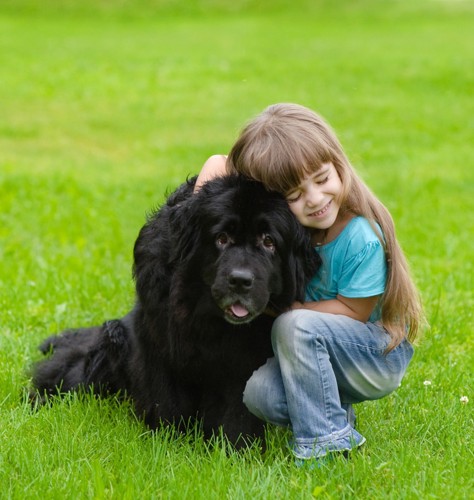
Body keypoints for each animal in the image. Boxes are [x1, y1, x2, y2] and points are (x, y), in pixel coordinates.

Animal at [32, 173, 318, 446]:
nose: (240, 280)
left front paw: (237, 448)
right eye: (221, 238)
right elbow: (166, 398)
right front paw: (168, 442)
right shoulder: (159, 342)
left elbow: (239, 408)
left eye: (269, 242)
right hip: (112, 338)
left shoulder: (245, 361)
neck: (210, 318)